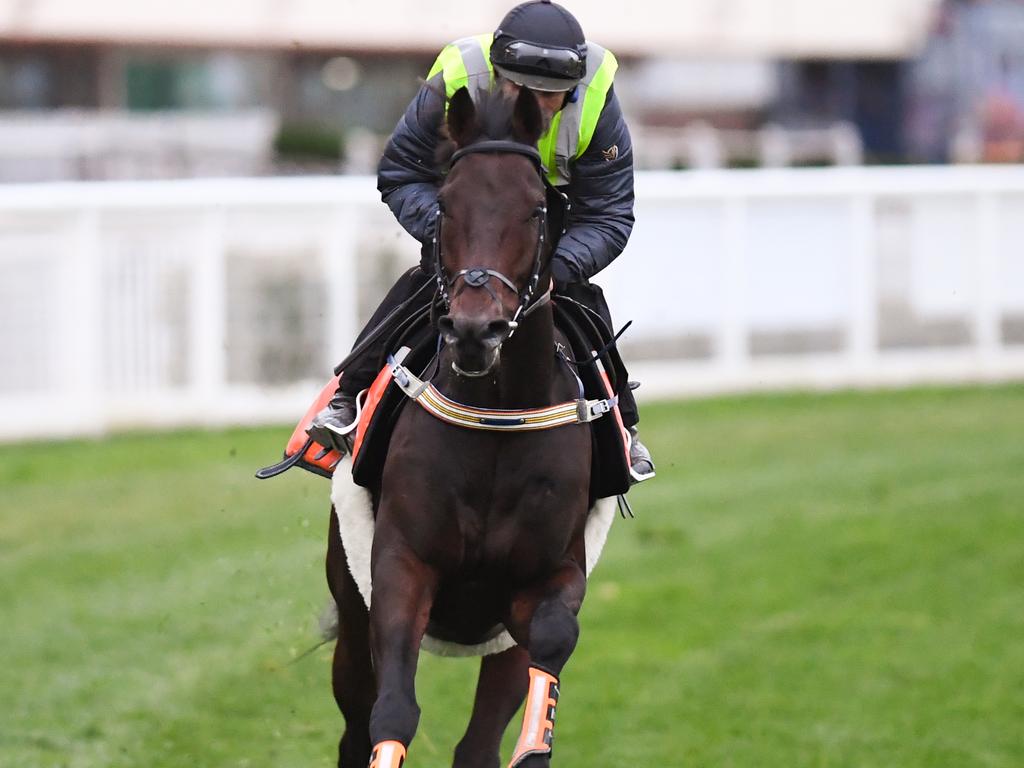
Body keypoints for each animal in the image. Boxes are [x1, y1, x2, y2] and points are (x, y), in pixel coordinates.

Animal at [325, 85, 598, 768]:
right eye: (445, 205)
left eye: (536, 210)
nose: (477, 329)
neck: (498, 417)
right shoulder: (400, 564)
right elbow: (391, 711)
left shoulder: (545, 577)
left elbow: (552, 635)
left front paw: (536, 743)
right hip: (350, 606)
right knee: (354, 723)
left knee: (477, 743)